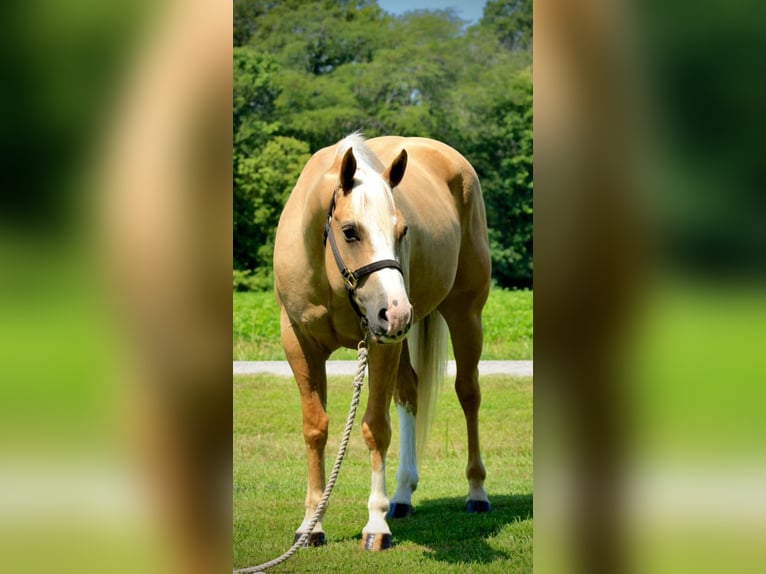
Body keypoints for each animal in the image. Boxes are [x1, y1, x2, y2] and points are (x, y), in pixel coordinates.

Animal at [273, 133, 492, 550]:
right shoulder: (299, 344)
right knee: (409, 394)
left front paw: (375, 524)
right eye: (350, 231)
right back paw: (402, 496)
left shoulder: (380, 344)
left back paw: (477, 493)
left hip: (464, 316)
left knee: (469, 394)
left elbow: (375, 427)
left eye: (403, 231)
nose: (397, 312)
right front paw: (311, 525)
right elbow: (315, 428)